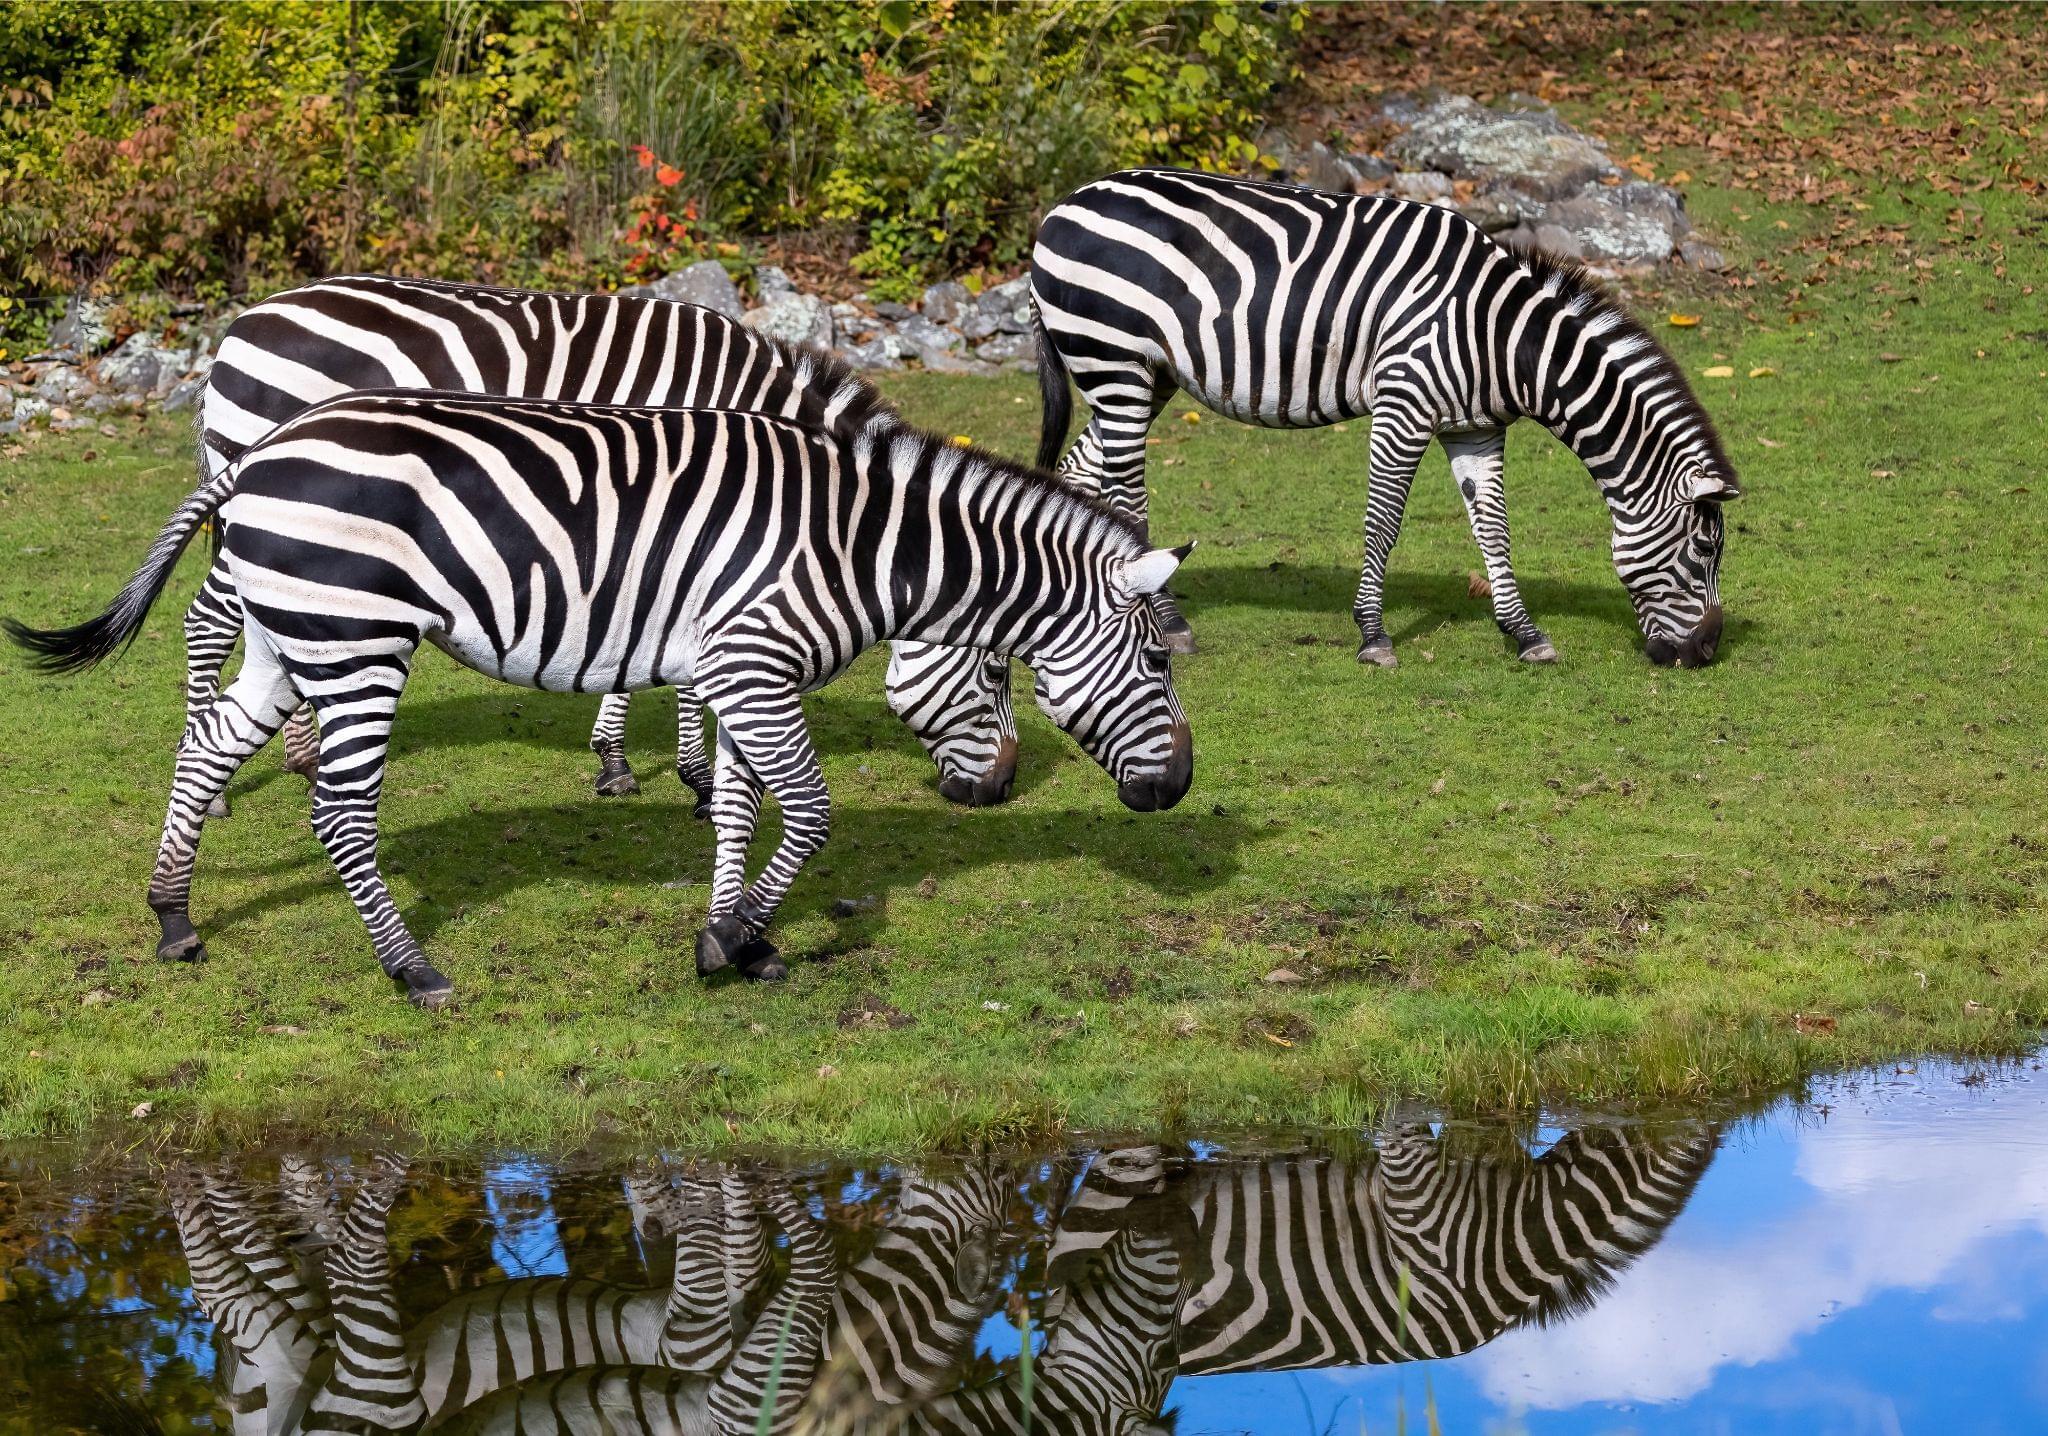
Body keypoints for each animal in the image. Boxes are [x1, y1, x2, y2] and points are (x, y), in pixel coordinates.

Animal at [8, 383, 1193, 1007]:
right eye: (1158, 664)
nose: (1178, 791)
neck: (857, 545)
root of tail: (254, 456)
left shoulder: (737, 671)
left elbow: (737, 811)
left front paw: (736, 936)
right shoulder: (753, 662)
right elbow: (807, 812)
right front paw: (734, 941)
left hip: (285, 632)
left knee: (208, 743)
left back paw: (173, 917)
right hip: (354, 638)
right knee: (339, 813)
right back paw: (411, 967)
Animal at [193, 274, 1018, 811]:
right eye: (998, 674)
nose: (1004, 789)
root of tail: (249, 318)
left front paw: (616, 760)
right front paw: (693, 776)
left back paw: (293, 755)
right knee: (208, 619)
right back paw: (242, 780)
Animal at [1032, 167, 1741, 667]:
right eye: (1703, 550)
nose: (1707, 652)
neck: (1499, 336)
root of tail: (1062, 206)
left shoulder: (1475, 427)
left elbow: (1494, 531)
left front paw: (1524, 634)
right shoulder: (1404, 404)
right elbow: (1384, 523)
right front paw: (1373, 635)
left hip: (1147, 376)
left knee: (1081, 471)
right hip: (1115, 362)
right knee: (1125, 491)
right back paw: (1170, 625)